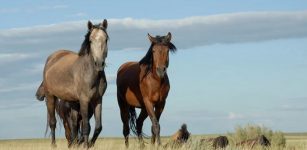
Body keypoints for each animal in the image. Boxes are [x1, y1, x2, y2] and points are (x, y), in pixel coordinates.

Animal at [35, 19, 108, 148]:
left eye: (106, 39)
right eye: (90, 41)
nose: (99, 64)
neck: (89, 72)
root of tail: (52, 58)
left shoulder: (98, 99)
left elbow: (98, 127)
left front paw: (89, 144)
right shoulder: (84, 100)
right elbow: (86, 127)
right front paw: (85, 146)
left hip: (72, 102)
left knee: (73, 127)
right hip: (51, 97)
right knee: (53, 123)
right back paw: (53, 145)